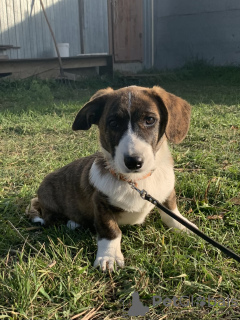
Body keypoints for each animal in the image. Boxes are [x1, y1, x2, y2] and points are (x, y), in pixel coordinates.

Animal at [27, 86, 198, 272]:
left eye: (150, 120)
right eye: (113, 123)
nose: (134, 162)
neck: (135, 180)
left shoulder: (166, 193)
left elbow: (171, 212)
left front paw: (183, 226)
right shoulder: (100, 204)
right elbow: (111, 231)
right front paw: (109, 256)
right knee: (52, 218)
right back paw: (73, 223)